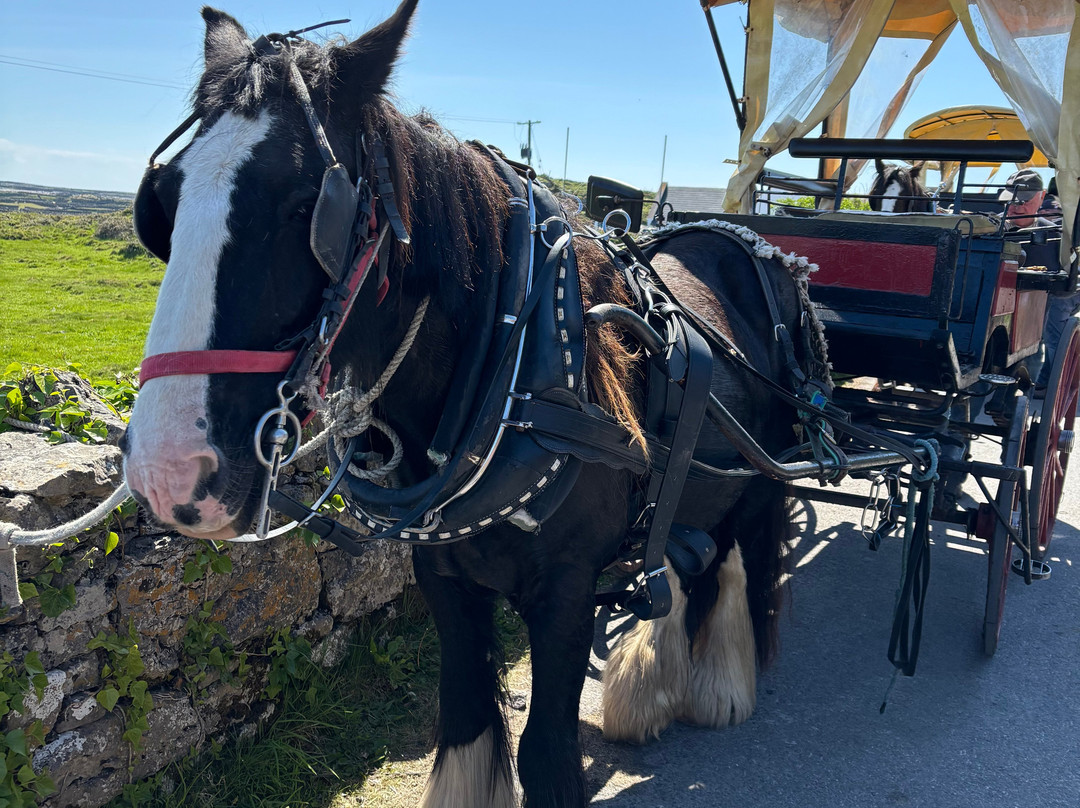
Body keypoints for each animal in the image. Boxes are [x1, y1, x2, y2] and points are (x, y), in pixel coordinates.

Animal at [121, 3, 808, 805]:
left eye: (304, 206)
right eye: (163, 204)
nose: (169, 473)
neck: (513, 361)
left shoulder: (567, 588)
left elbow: (546, 756)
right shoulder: (443, 577)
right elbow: (468, 729)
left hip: (762, 475)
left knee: (731, 558)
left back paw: (721, 683)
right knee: (681, 553)